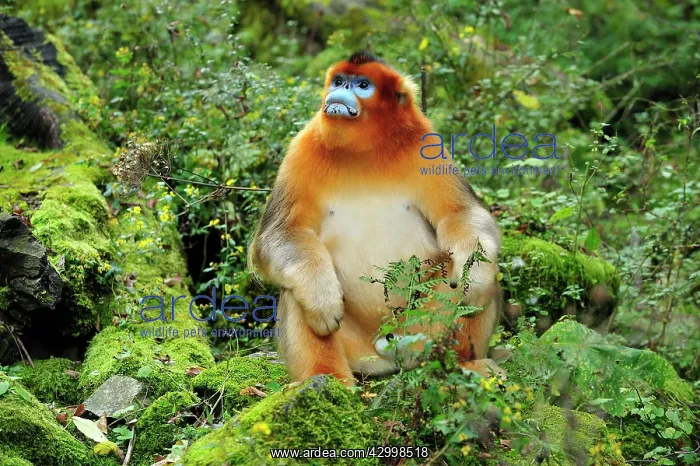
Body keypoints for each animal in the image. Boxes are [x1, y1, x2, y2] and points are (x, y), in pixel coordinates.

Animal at [249, 51, 502, 385]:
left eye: (362, 85)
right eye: (339, 80)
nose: (339, 91)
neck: (365, 150)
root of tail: (385, 351)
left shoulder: (427, 145)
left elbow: (460, 214)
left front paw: (476, 278)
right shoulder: (301, 148)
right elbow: (280, 233)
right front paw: (320, 297)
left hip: (420, 329)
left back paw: (463, 363)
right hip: (356, 345)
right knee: (295, 287)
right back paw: (326, 380)